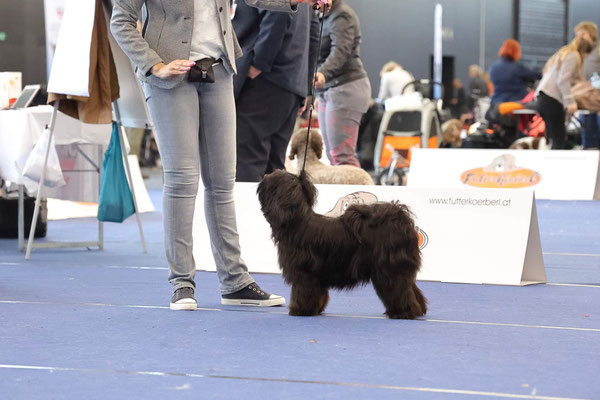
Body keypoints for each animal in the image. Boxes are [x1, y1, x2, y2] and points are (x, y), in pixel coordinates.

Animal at [258, 170, 426, 318]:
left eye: (273, 178)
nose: (264, 175)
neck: (296, 223)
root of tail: (400, 218)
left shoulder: (304, 273)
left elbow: (304, 292)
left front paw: (300, 310)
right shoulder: (317, 276)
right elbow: (318, 294)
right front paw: (315, 309)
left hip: (389, 270)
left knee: (399, 291)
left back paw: (403, 313)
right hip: (400, 270)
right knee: (411, 289)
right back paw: (418, 311)